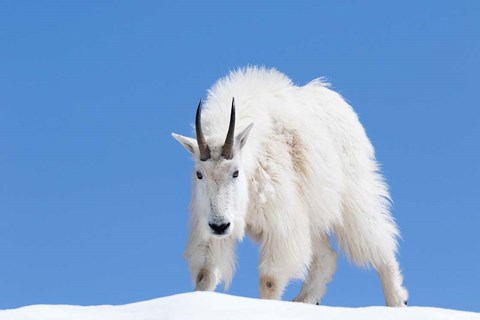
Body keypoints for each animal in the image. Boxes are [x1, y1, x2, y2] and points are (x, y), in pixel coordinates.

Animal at [171, 66, 406, 306]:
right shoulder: (208, 222)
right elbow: (205, 273)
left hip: (353, 197)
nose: (220, 226)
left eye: (235, 172)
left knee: (377, 241)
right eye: (199, 174)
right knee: (327, 255)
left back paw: (398, 300)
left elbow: (270, 279)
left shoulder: (280, 221)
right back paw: (305, 299)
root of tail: (339, 102)